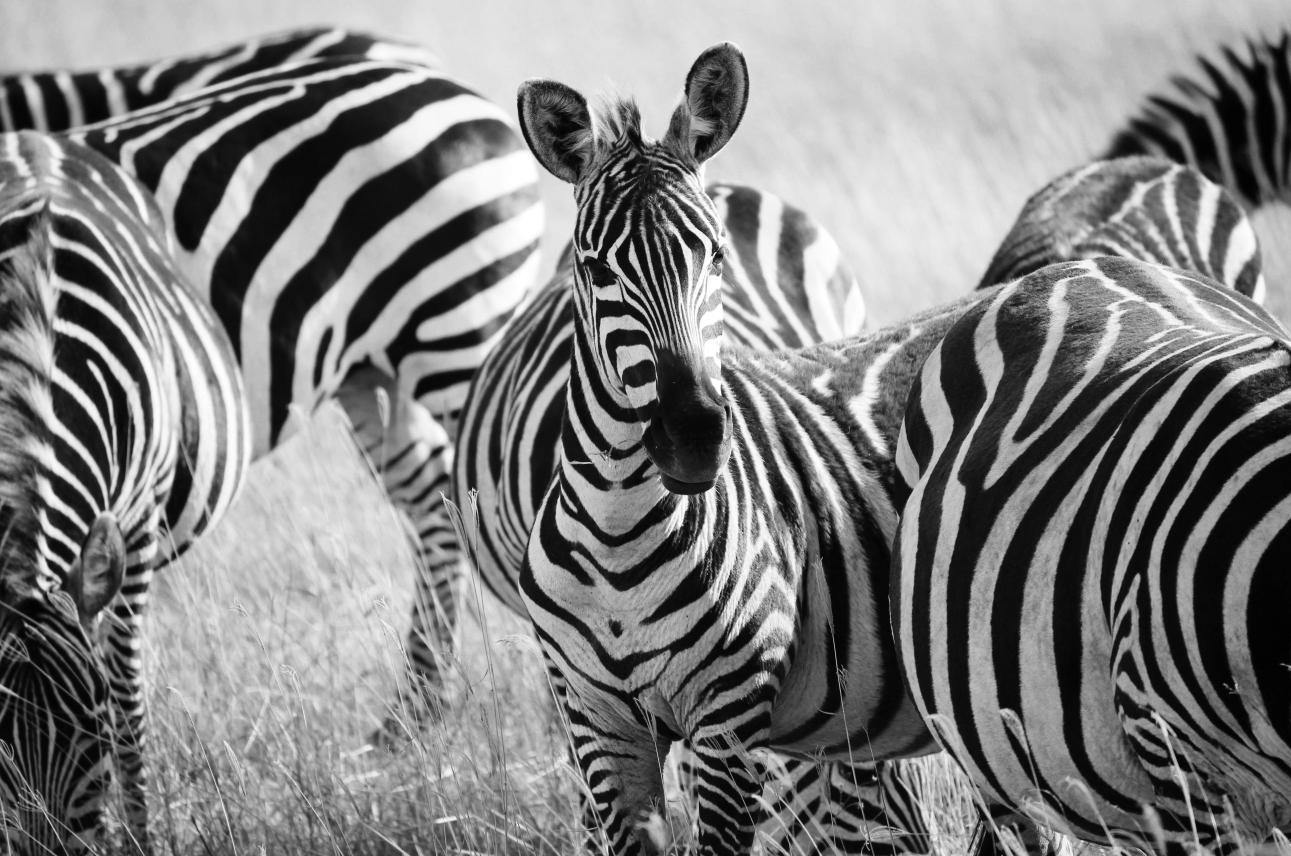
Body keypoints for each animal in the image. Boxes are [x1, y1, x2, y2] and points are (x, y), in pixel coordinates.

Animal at [0, 131, 249, 854]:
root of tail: (30, 137)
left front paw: (142, 837)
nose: (48, 850)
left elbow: (130, 690)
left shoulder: (136, 528)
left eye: (95, 735)